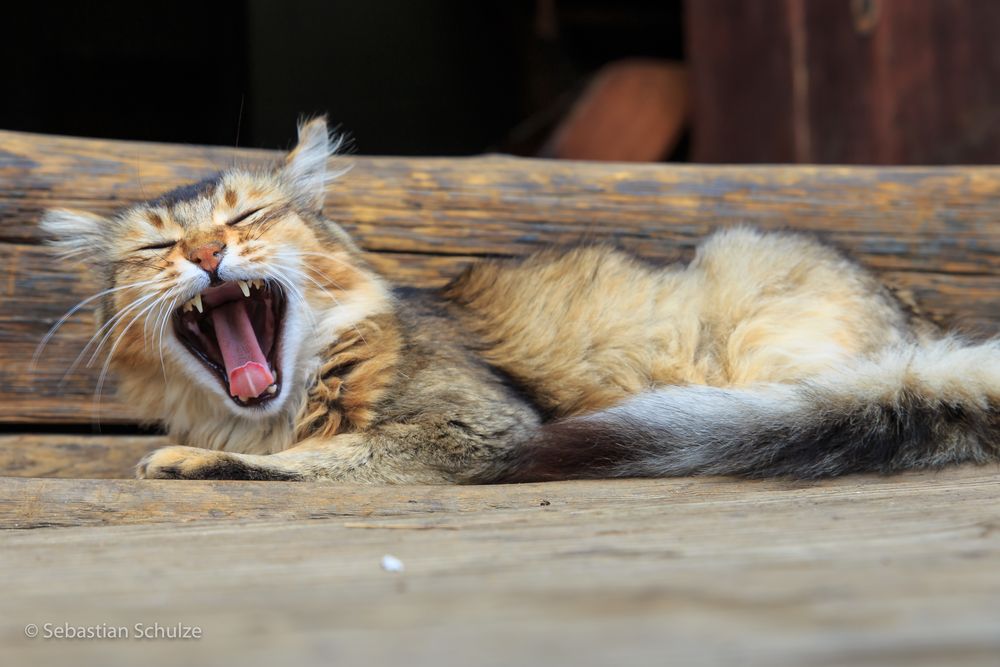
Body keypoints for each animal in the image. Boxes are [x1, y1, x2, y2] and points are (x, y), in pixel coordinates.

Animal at [39, 117, 1000, 482]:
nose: (207, 254)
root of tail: (924, 340)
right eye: (158, 248)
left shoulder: (475, 427)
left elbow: (318, 456)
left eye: (246, 217)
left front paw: (189, 459)